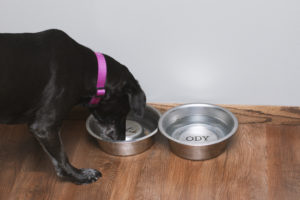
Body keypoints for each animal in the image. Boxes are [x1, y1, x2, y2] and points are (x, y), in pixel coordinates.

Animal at [0, 29, 146, 184]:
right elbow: (62, 159)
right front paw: (80, 176)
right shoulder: (44, 127)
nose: (121, 139)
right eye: (123, 113)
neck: (88, 70)